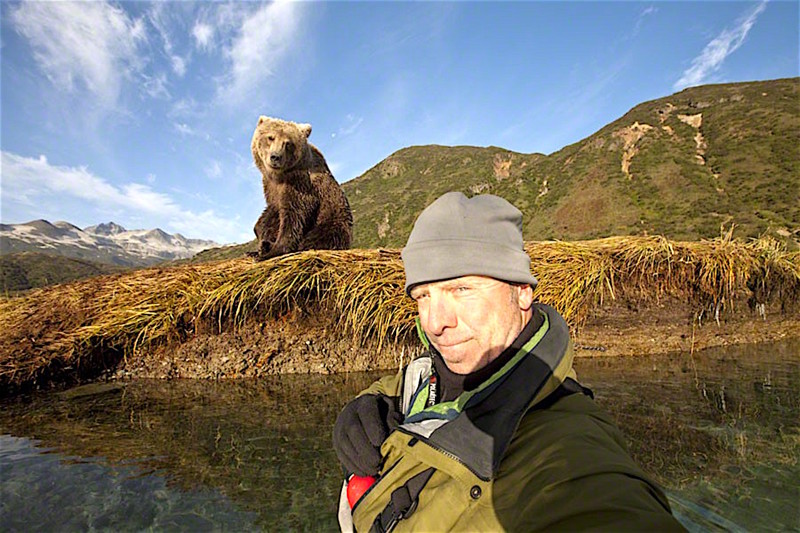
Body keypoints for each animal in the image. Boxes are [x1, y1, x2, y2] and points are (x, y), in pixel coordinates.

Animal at [248, 115, 352, 260]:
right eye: (271, 137)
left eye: (287, 143)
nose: (275, 157)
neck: (279, 176)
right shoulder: (269, 186)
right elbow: (271, 213)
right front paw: (260, 244)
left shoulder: (300, 182)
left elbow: (295, 214)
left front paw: (274, 251)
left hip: (333, 219)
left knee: (322, 236)